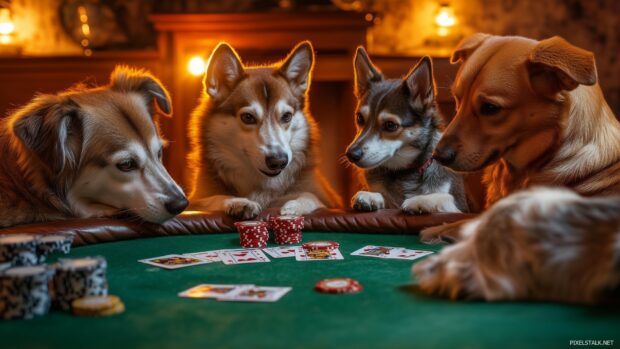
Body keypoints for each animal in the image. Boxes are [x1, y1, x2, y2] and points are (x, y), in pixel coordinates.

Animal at [186, 41, 342, 218]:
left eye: (287, 116)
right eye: (247, 117)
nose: (278, 161)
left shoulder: (329, 200)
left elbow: (310, 196)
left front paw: (294, 205)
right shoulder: (195, 201)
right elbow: (214, 198)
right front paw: (238, 202)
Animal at [346, 47, 468, 213]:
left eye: (390, 125)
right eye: (359, 118)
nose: (351, 154)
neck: (405, 172)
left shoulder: (462, 206)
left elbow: (444, 197)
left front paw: (420, 200)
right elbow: (383, 197)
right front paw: (370, 196)